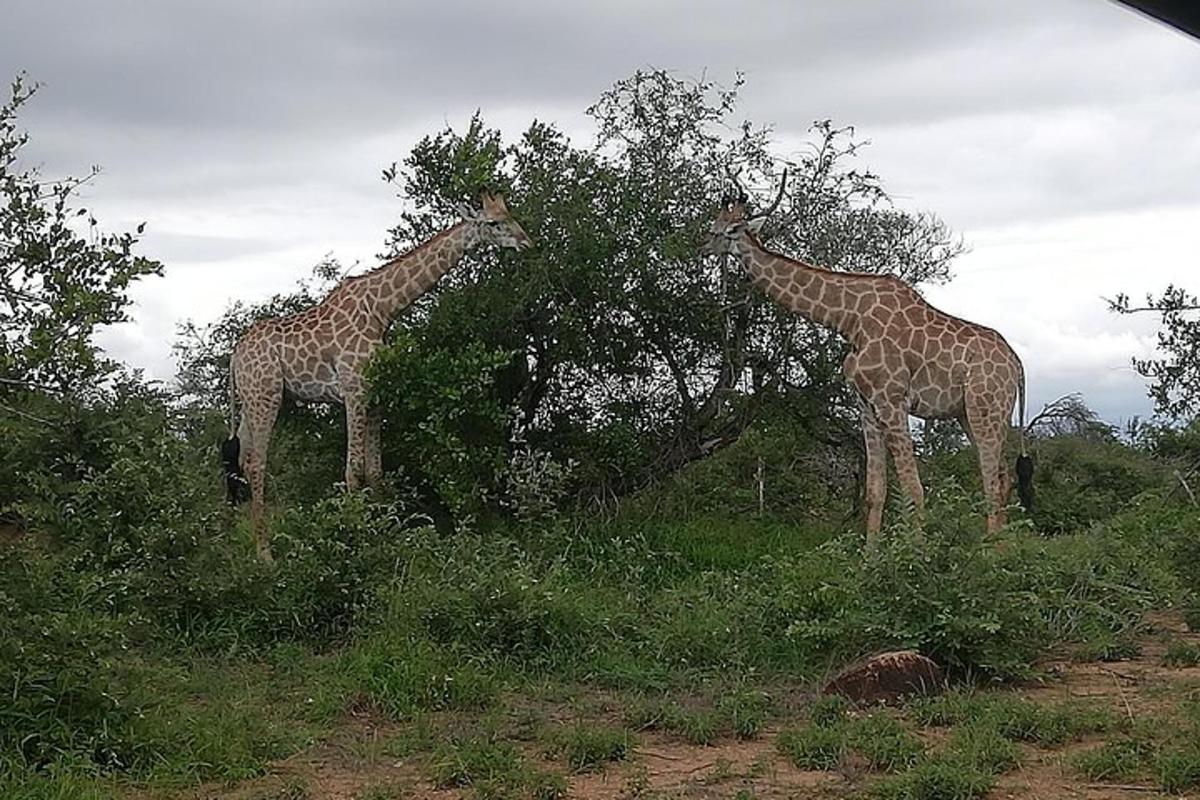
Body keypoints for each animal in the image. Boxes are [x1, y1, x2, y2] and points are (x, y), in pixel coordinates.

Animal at [223, 190, 532, 561]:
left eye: (511, 215)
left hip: (250, 399)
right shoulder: (354, 390)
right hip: (265, 395)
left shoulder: (375, 393)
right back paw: (265, 554)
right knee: (256, 463)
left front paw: (384, 537)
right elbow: (353, 469)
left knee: (240, 460)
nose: (527, 242)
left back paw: (237, 541)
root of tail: (235, 356)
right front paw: (350, 538)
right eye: (494, 223)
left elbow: (375, 472)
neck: (384, 309)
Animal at [700, 183, 1032, 544]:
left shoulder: (892, 401)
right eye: (713, 224)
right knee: (1003, 478)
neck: (848, 319)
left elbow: (913, 490)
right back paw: (1003, 548)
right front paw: (871, 555)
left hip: (986, 410)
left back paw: (993, 552)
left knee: (993, 483)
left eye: (728, 230)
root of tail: (1017, 365)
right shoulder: (867, 407)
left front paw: (916, 554)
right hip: (968, 414)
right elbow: (875, 492)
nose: (702, 246)